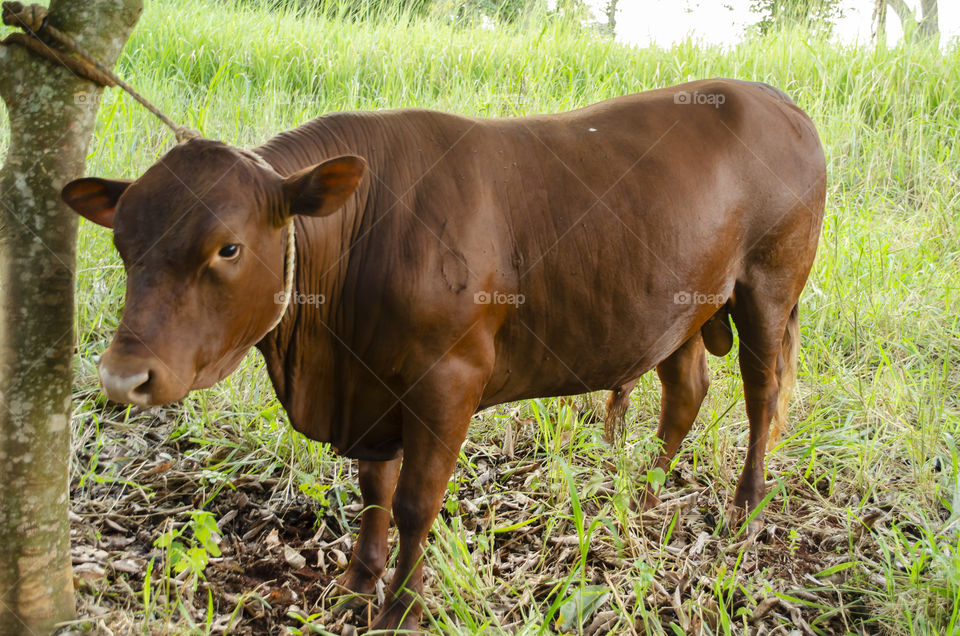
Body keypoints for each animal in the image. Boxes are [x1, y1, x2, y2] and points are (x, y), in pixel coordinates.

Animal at [63, 79, 824, 632]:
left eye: (227, 247)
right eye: (122, 242)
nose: (122, 376)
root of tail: (775, 98)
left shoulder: (448, 379)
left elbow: (414, 503)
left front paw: (401, 610)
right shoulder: (372, 386)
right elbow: (374, 492)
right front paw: (354, 588)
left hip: (767, 288)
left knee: (761, 396)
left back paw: (744, 508)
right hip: (684, 306)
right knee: (685, 392)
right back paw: (635, 498)